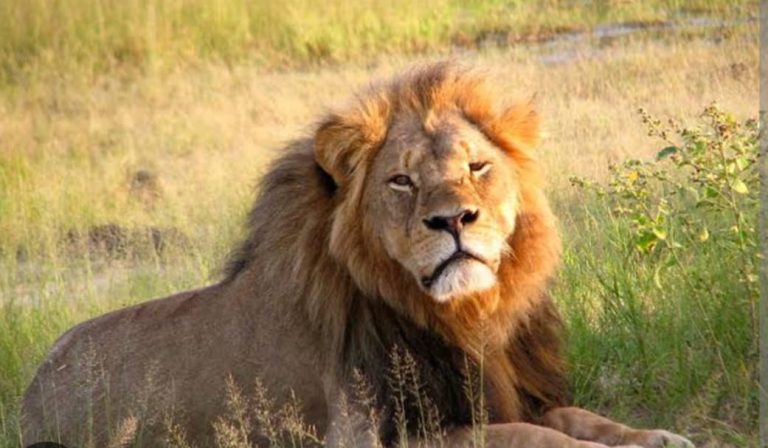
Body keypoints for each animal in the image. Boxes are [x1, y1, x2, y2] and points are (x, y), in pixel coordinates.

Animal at [22, 62, 694, 448]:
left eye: (477, 167)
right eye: (401, 181)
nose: (454, 220)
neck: (464, 318)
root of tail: (29, 390)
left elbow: (574, 416)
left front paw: (656, 436)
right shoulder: (372, 435)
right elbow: (525, 436)